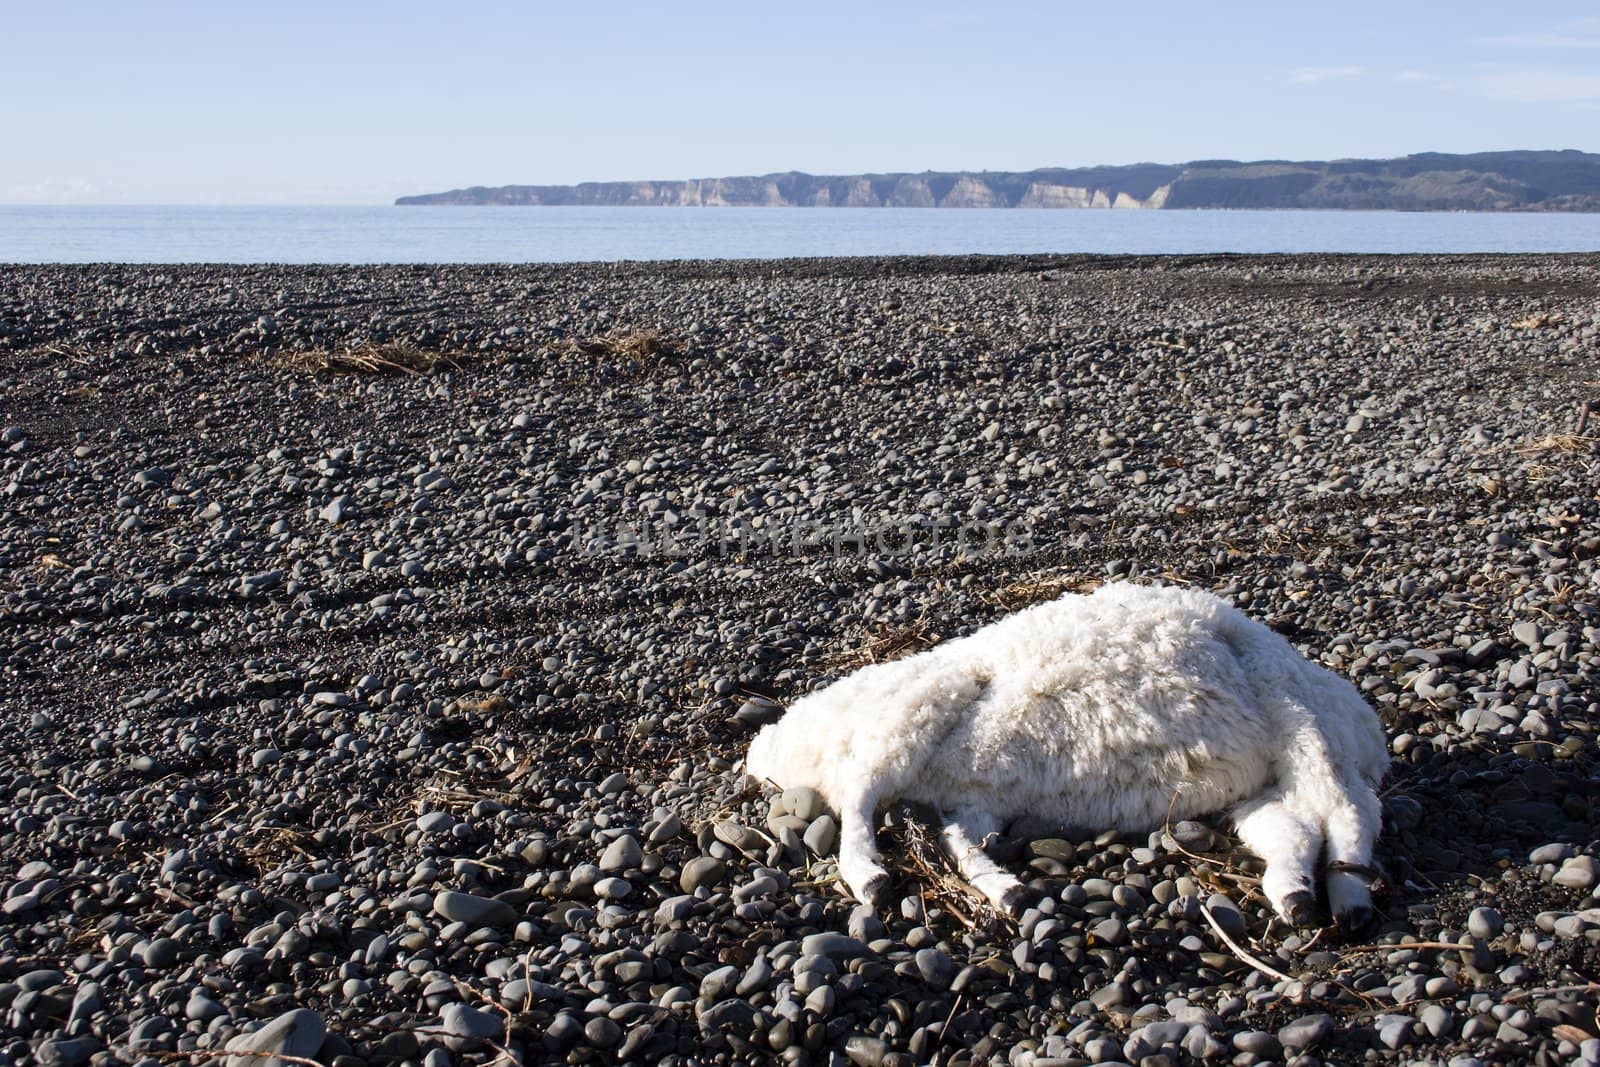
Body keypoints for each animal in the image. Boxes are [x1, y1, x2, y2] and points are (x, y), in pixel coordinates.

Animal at [748, 579, 1388, 927]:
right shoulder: (963, 792)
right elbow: (947, 833)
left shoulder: (906, 725)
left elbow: (861, 803)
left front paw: (868, 877)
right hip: (1269, 774)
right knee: (1301, 825)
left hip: (1299, 721)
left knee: (1344, 811)